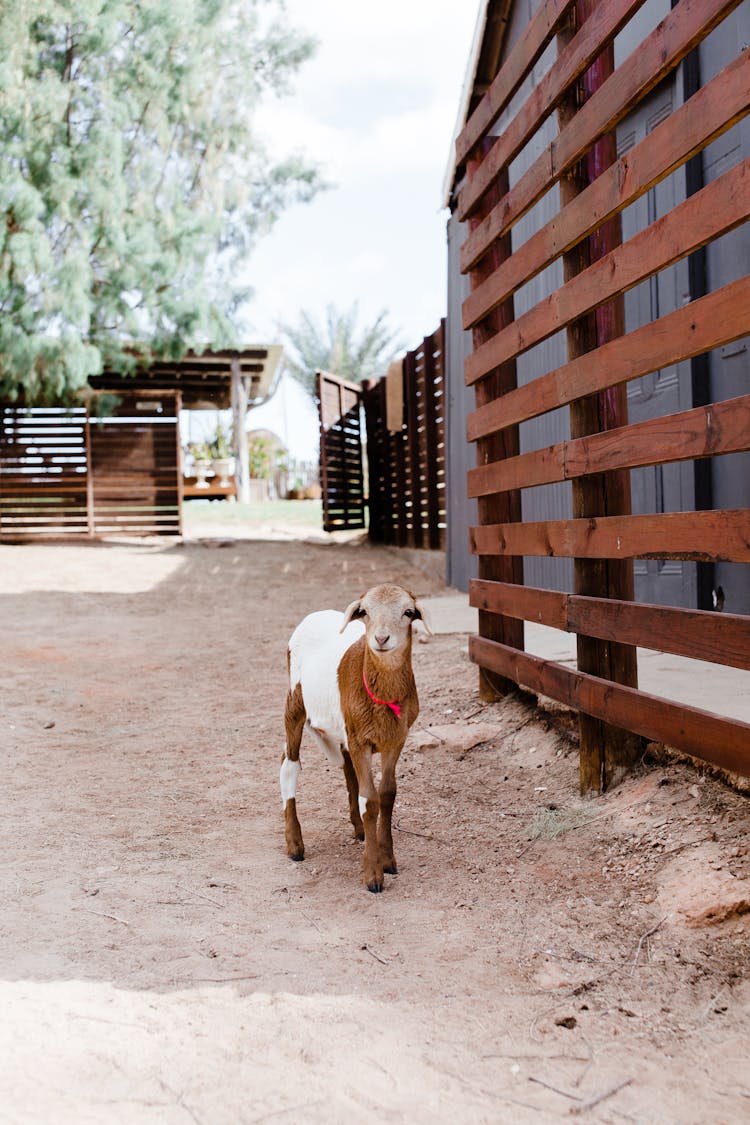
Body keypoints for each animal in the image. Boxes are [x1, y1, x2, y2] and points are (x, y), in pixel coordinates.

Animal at [281, 585, 434, 891]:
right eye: (365, 612)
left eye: (408, 612)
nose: (381, 638)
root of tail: (315, 614)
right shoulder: (361, 740)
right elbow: (370, 800)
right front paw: (373, 875)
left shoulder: (395, 739)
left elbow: (386, 794)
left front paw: (388, 860)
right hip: (295, 699)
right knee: (289, 764)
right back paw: (295, 844)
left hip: (344, 728)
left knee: (347, 769)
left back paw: (361, 829)